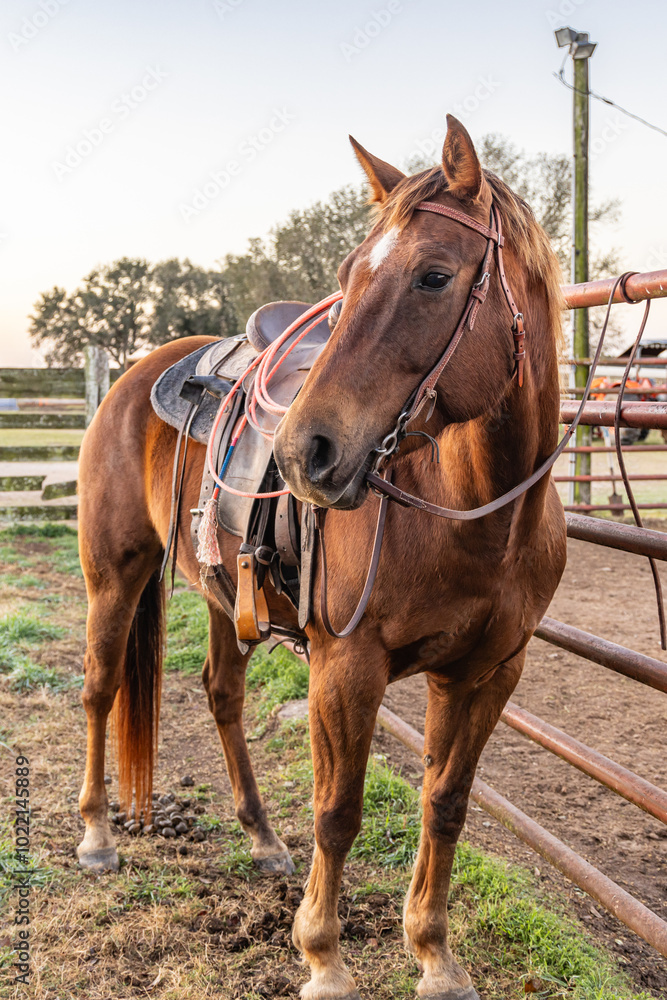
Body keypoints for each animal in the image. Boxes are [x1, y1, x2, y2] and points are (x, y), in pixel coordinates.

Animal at [76, 115, 566, 1000]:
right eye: (347, 276)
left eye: (434, 276)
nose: (305, 453)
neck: (479, 516)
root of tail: (137, 371)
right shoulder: (346, 666)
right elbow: (338, 812)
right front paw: (323, 959)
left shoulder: (486, 672)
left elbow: (446, 803)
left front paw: (434, 955)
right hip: (114, 575)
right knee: (99, 689)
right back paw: (97, 836)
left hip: (219, 594)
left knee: (221, 695)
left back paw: (263, 838)